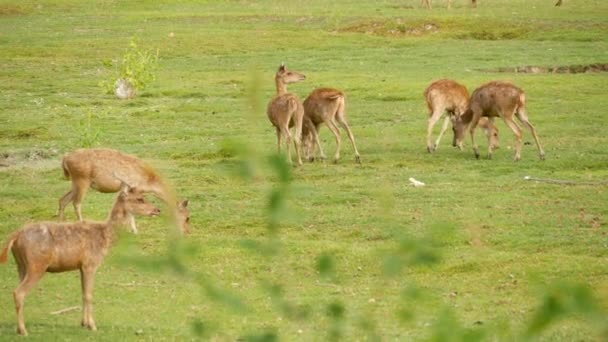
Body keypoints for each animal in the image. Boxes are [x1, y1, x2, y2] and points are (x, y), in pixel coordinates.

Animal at [0, 180, 162, 336]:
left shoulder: (81, 266)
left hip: (21, 265)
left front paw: (83, 323)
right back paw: (23, 330)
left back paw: (18, 328)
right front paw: (92, 325)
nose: (157, 210)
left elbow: (83, 293)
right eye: (140, 199)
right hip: (37, 265)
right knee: (18, 293)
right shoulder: (90, 263)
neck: (106, 236)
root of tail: (15, 236)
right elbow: (89, 294)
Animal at [57, 148, 190, 234]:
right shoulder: (133, 188)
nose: (186, 232)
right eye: (188, 218)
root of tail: (65, 159)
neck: (148, 182)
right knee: (76, 203)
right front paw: (135, 231)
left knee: (63, 199)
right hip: (82, 180)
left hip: (76, 182)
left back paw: (61, 222)